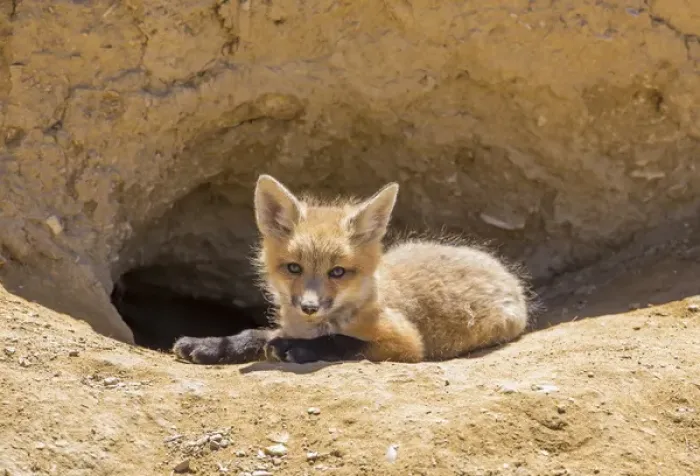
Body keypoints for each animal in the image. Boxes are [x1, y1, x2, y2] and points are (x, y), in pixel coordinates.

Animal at [173, 174, 530, 364]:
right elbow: (255, 334)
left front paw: (300, 349)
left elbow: (342, 341)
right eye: (294, 268)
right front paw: (212, 345)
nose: (309, 306)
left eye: (338, 272)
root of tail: (502, 270)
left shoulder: (406, 344)